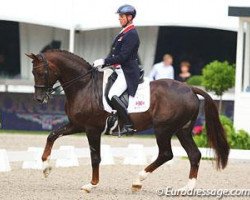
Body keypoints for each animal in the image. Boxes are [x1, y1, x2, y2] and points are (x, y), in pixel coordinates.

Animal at [26, 49, 229, 192]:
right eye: (33, 72)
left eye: (42, 72)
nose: (39, 99)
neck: (84, 85)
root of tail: (189, 88)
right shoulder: (77, 125)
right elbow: (52, 135)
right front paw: (45, 167)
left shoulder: (92, 128)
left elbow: (95, 157)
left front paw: (91, 184)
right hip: (182, 130)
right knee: (194, 154)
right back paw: (187, 188)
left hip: (163, 129)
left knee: (166, 154)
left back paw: (138, 180)